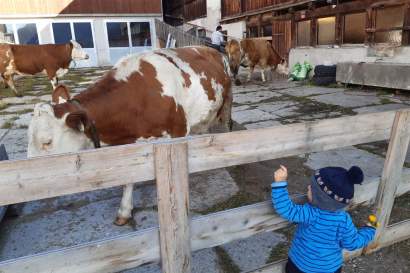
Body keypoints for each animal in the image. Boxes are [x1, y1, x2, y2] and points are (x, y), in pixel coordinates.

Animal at [27, 46, 232, 225]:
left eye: (47, 142)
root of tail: (211, 49)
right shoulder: (129, 144)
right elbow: (129, 180)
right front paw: (124, 211)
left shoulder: (178, 131)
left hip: (226, 105)